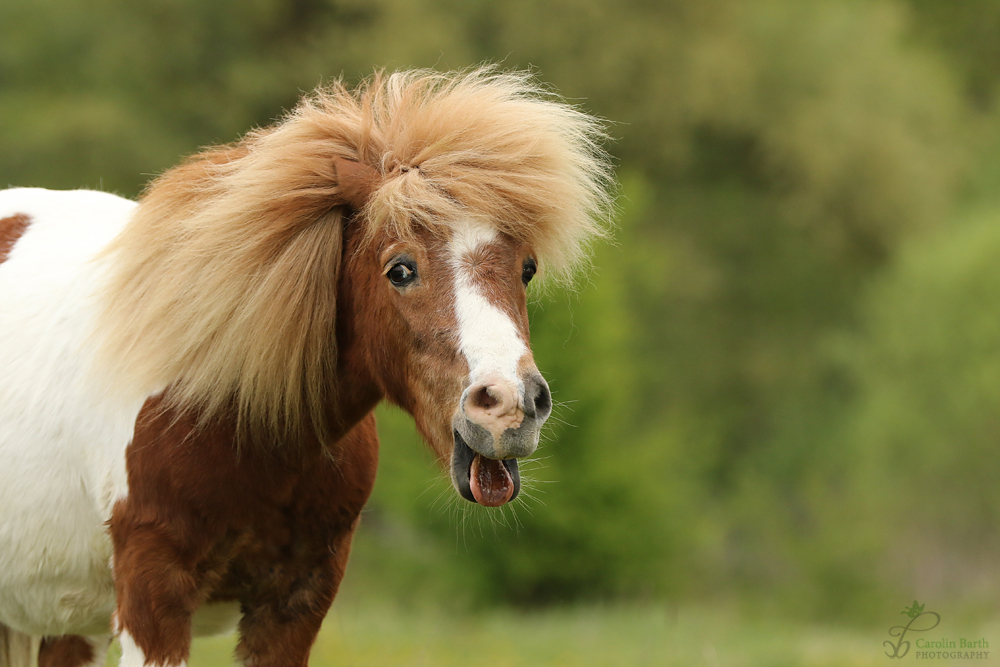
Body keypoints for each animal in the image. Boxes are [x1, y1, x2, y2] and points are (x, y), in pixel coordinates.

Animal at [0, 66, 608, 667]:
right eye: (401, 269)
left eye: (526, 268)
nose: (508, 407)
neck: (243, 416)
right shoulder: (154, 602)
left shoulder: (295, 606)